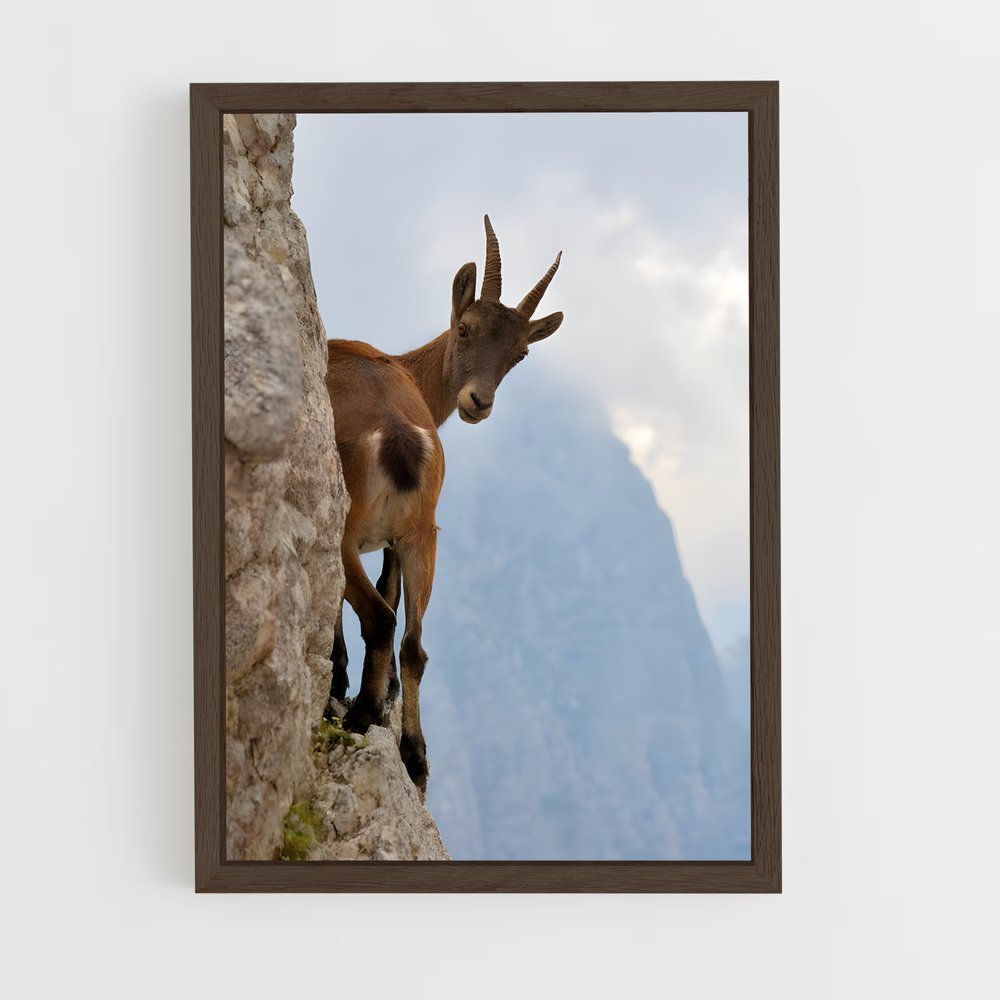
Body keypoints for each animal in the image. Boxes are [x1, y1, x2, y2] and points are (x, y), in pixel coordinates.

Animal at [325, 216, 564, 791]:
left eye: (520, 352)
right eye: (466, 329)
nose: (479, 401)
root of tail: (396, 436)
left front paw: (341, 680)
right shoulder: (396, 540)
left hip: (346, 532)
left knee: (380, 618)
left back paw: (361, 717)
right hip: (424, 535)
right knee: (414, 642)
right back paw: (413, 756)